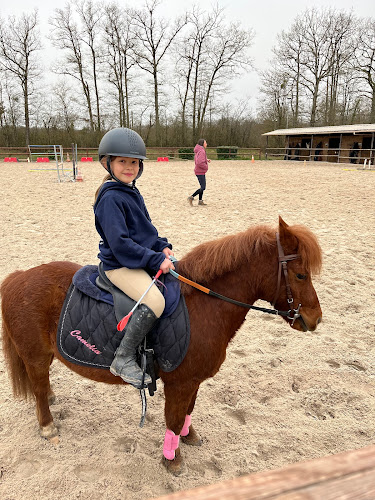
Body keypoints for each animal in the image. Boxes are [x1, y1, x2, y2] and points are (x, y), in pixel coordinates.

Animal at [0, 217, 324, 474]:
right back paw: (47, 425)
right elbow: (174, 417)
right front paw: (173, 458)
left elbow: (189, 411)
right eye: (300, 274)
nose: (315, 319)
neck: (205, 305)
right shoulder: (180, 382)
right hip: (35, 355)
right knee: (37, 386)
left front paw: (189, 436)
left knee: (42, 384)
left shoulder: (193, 381)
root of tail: (18, 277)